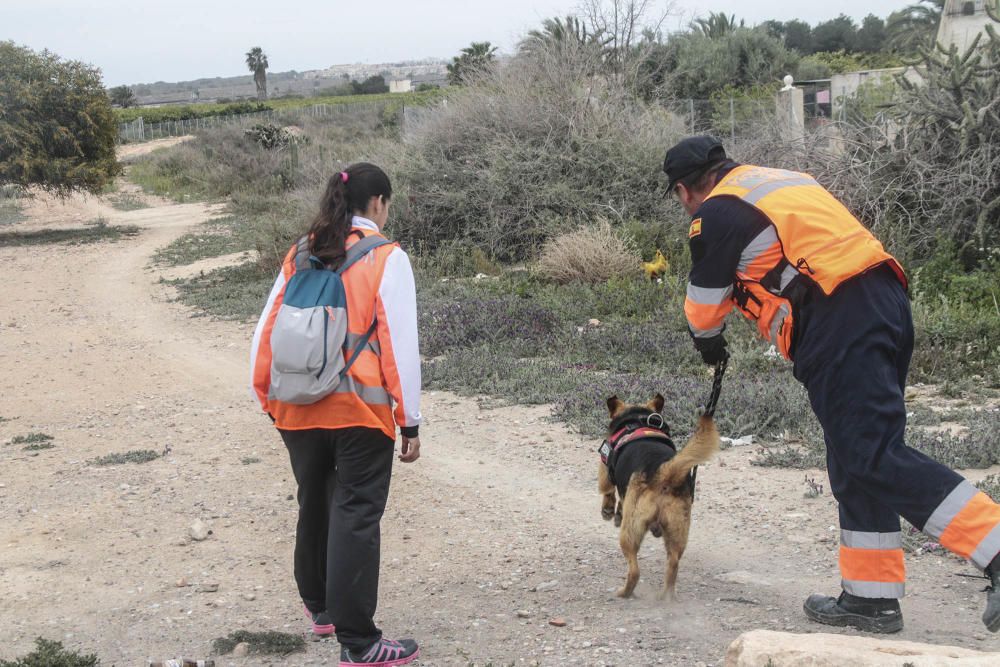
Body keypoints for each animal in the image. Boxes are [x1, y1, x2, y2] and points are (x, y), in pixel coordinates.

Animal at [596, 394, 716, 604]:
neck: (639, 418)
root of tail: (664, 472)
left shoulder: (605, 468)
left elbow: (608, 490)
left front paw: (608, 510)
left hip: (631, 532)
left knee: (634, 571)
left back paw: (624, 592)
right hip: (677, 532)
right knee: (673, 565)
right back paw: (666, 595)